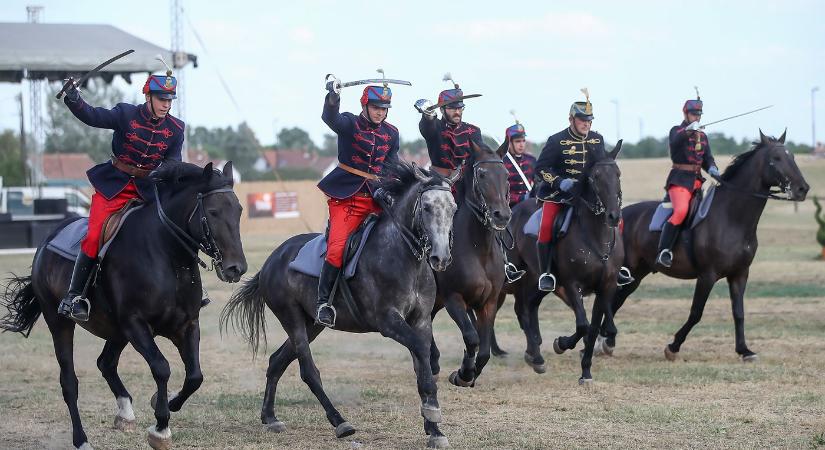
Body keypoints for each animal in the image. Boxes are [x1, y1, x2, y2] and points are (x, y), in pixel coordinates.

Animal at [0, 162, 245, 450]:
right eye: (214, 212)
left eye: (239, 210)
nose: (236, 268)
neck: (167, 255)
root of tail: (46, 243)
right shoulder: (135, 324)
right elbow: (161, 367)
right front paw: (160, 428)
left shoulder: (185, 325)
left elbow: (195, 376)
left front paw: (167, 403)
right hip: (60, 322)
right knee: (69, 382)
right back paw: (81, 440)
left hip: (116, 331)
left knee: (105, 363)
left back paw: (125, 413)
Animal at [219, 163, 460, 450]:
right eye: (426, 207)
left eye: (453, 208)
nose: (441, 257)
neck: (403, 256)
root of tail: (272, 260)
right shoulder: (388, 321)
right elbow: (422, 352)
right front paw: (432, 412)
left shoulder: (420, 320)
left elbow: (421, 365)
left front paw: (433, 428)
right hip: (292, 319)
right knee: (308, 371)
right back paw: (340, 422)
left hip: (312, 325)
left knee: (277, 361)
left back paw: (270, 417)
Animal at [428, 141, 512, 386]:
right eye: (482, 174)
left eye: (506, 175)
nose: (502, 215)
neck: (479, 250)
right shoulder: (454, 299)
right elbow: (471, 337)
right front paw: (463, 374)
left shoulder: (488, 303)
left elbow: (483, 350)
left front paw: (470, 373)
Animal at [496, 142, 624, 382]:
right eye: (595, 177)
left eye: (618, 174)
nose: (613, 216)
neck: (595, 237)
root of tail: (515, 210)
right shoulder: (572, 284)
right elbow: (583, 325)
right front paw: (561, 343)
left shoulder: (606, 286)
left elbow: (598, 327)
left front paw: (586, 371)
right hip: (519, 276)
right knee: (522, 309)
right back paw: (535, 356)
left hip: (539, 280)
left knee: (530, 305)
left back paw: (534, 354)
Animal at [600, 129, 812, 358]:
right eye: (776, 158)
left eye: (792, 157)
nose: (802, 189)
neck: (731, 218)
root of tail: (619, 218)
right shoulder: (707, 276)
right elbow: (696, 313)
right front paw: (673, 346)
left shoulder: (740, 274)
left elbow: (739, 312)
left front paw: (744, 350)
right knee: (610, 300)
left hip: (637, 274)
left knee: (617, 300)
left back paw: (605, 341)